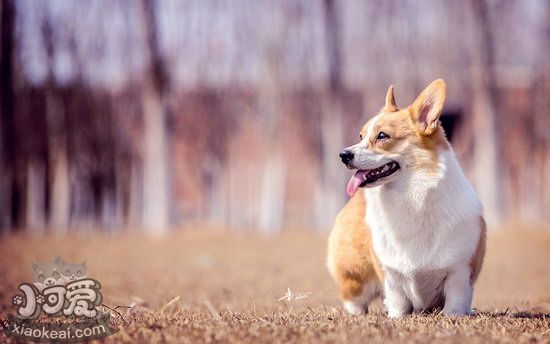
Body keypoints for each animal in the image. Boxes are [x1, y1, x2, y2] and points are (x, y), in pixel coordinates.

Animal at [328, 80, 488, 318]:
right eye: (361, 136)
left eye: (382, 136)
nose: (343, 155)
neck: (411, 195)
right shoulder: (391, 274)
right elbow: (398, 301)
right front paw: (396, 317)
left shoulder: (459, 271)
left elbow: (455, 301)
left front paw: (455, 315)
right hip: (355, 277)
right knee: (355, 301)